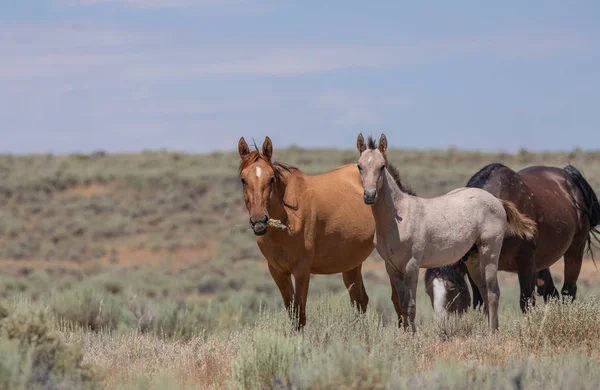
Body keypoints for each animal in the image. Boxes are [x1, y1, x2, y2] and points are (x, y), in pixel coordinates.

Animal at [237, 136, 392, 328]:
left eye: (271, 178)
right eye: (243, 180)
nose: (259, 221)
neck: (289, 218)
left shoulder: (302, 270)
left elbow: (299, 314)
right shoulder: (278, 271)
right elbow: (291, 312)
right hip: (351, 263)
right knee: (359, 300)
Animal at [354, 133, 536, 330]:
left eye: (382, 166)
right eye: (359, 166)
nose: (369, 195)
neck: (400, 217)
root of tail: (497, 201)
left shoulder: (411, 266)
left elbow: (410, 306)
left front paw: (413, 335)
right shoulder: (392, 268)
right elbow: (401, 305)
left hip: (490, 252)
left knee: (493, 292)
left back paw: (491, 332)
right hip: (473, 259)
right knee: (485, 293)